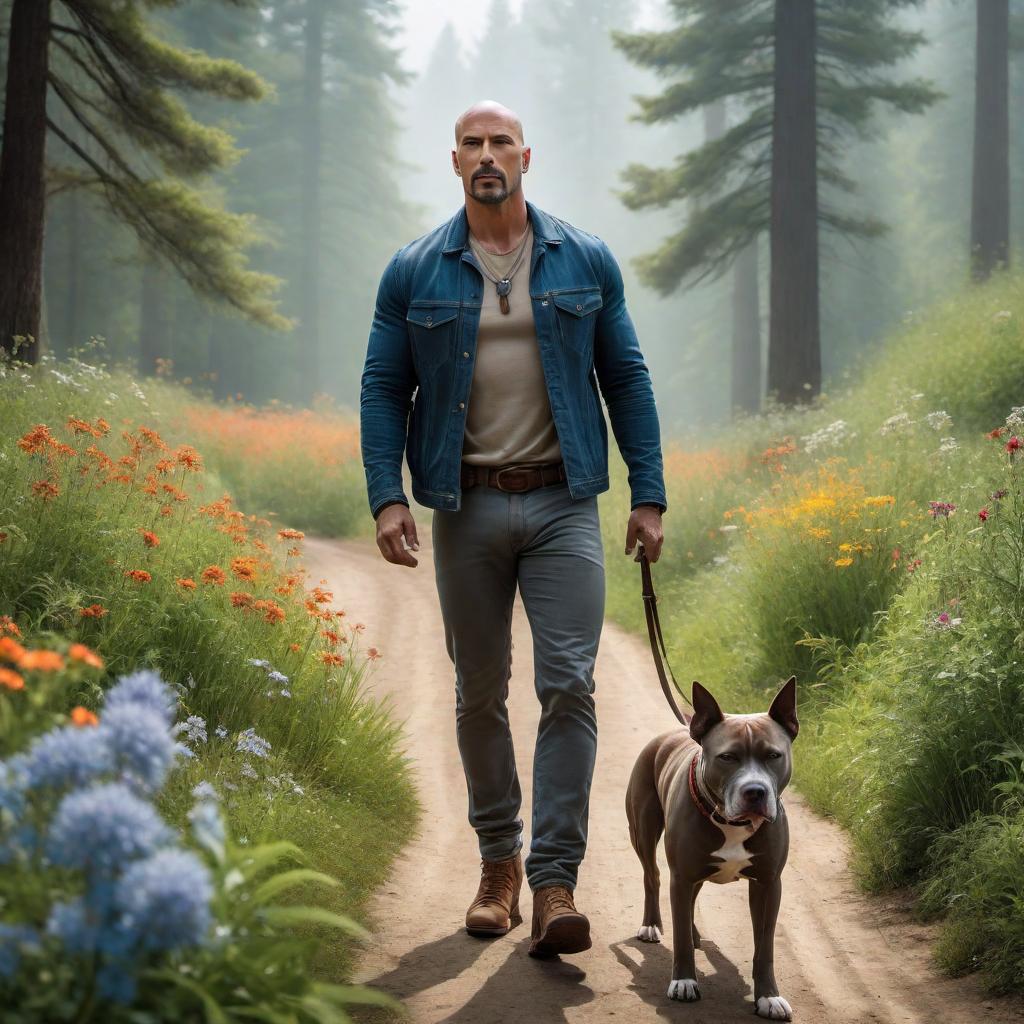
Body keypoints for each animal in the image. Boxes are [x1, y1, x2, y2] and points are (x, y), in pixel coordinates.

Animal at [622, 675, 798, 1019]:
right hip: (643, 832)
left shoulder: (769, 884)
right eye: (727, 757)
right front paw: (683, 982)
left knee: (690, 899)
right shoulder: (681, 875)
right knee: (652, 876)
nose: (755, 791)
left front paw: (768, 997)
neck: (733, 823)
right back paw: (651, 925)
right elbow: (679, 936)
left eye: (774, 756)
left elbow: (765, 947)